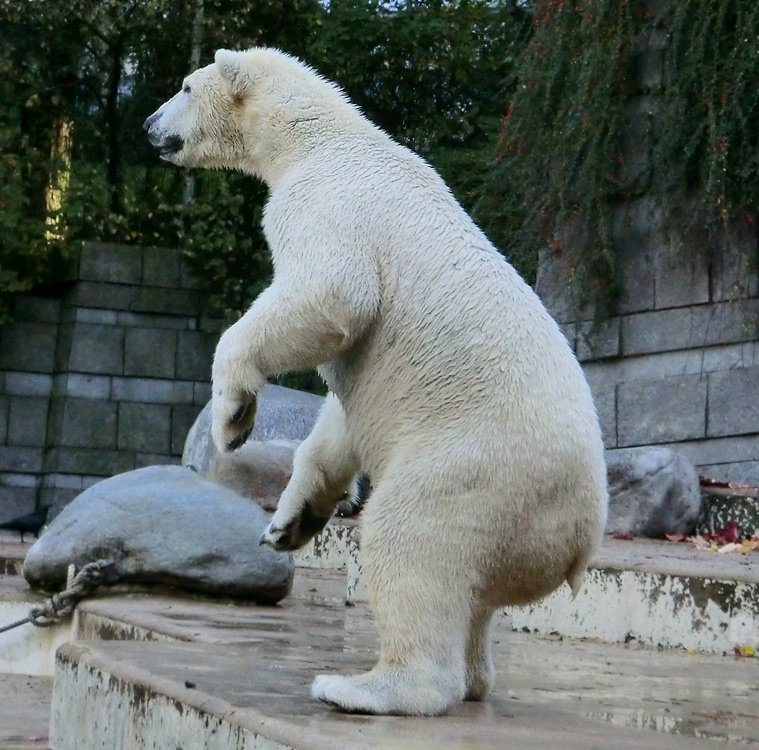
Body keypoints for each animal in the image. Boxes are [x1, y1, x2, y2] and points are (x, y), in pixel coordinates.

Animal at [144, 47, 604, 716]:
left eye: (183, 87)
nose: (149, 125)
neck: (322, 140)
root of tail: (579, 537)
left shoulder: (328, 205)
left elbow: (333, 295)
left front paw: (232, 416)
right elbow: (338, 420)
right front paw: (289, 521)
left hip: (481, 470)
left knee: (411, 538)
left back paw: (364, 687)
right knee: (472, 595)